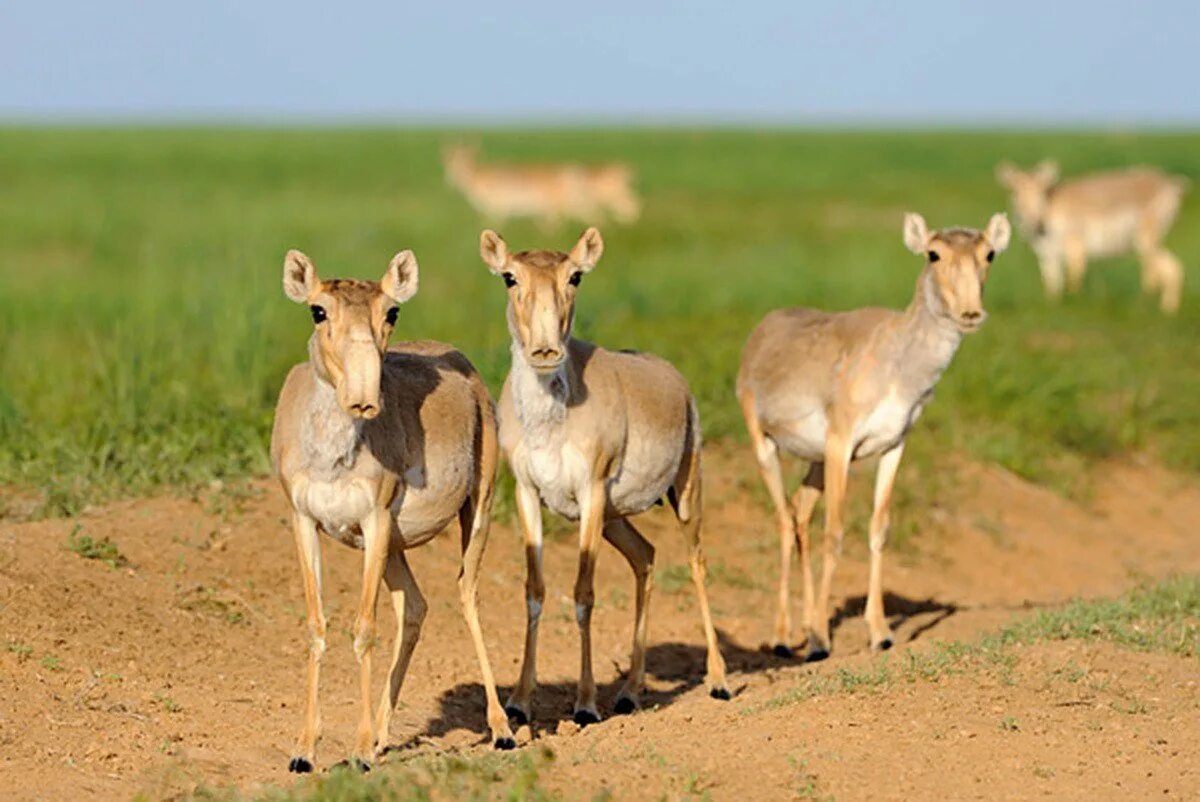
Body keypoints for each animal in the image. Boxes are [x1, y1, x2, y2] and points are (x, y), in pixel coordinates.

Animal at [272, 248, 516, 768]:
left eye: (392, 312)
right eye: (317, 310)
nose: (363, 398)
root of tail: (463, 365)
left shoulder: (376, 519)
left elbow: (365, 628)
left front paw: (361, 750)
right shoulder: (305, 522)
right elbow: (317, 625)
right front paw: (304, 750)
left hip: (476, 509)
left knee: (467, 594)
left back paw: (502, 728)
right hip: (393, 549)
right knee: (416, 605)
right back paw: (386, 733)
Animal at [480, 226, 729, 725]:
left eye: (574, 275)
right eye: (509, 277)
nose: (545, 350)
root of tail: (674, 378)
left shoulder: (590, 492)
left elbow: (583, 594)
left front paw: (585, 704)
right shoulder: (528, 493)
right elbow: (535, 591)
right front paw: (518, 702)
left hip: (685, 492)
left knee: (696, 562)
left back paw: (718, 680)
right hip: (617, 519)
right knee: (646, 556)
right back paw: (631, 692)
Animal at [734, 211, 1008, 657]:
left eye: (990, 253)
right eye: (933, 253)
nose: (970, 313)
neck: (898, 362)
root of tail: (761, 331)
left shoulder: (894, 446)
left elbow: (878, 530)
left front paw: (880, 633)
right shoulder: (841, 444)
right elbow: (835, 532)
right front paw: (820, 639)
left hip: (815, 462)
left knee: (799, 512)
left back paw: (804, 623)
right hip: (765, 445)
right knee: (783, 520)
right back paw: (783, 637)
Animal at [993, 160, 1190, 312]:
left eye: (1041, 192)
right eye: (1015, 192)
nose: (1034, 221)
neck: (1049, 210)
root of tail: (1171, 183)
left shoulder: (1075, 248)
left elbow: (1073, 279)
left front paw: (1073, 305)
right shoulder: (1047, 255)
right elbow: (1052, 284)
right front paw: (1053, 306)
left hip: (1145, 240)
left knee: (1157, 272)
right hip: (1148, 243)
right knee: (1173, 268)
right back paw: (1167, 310)